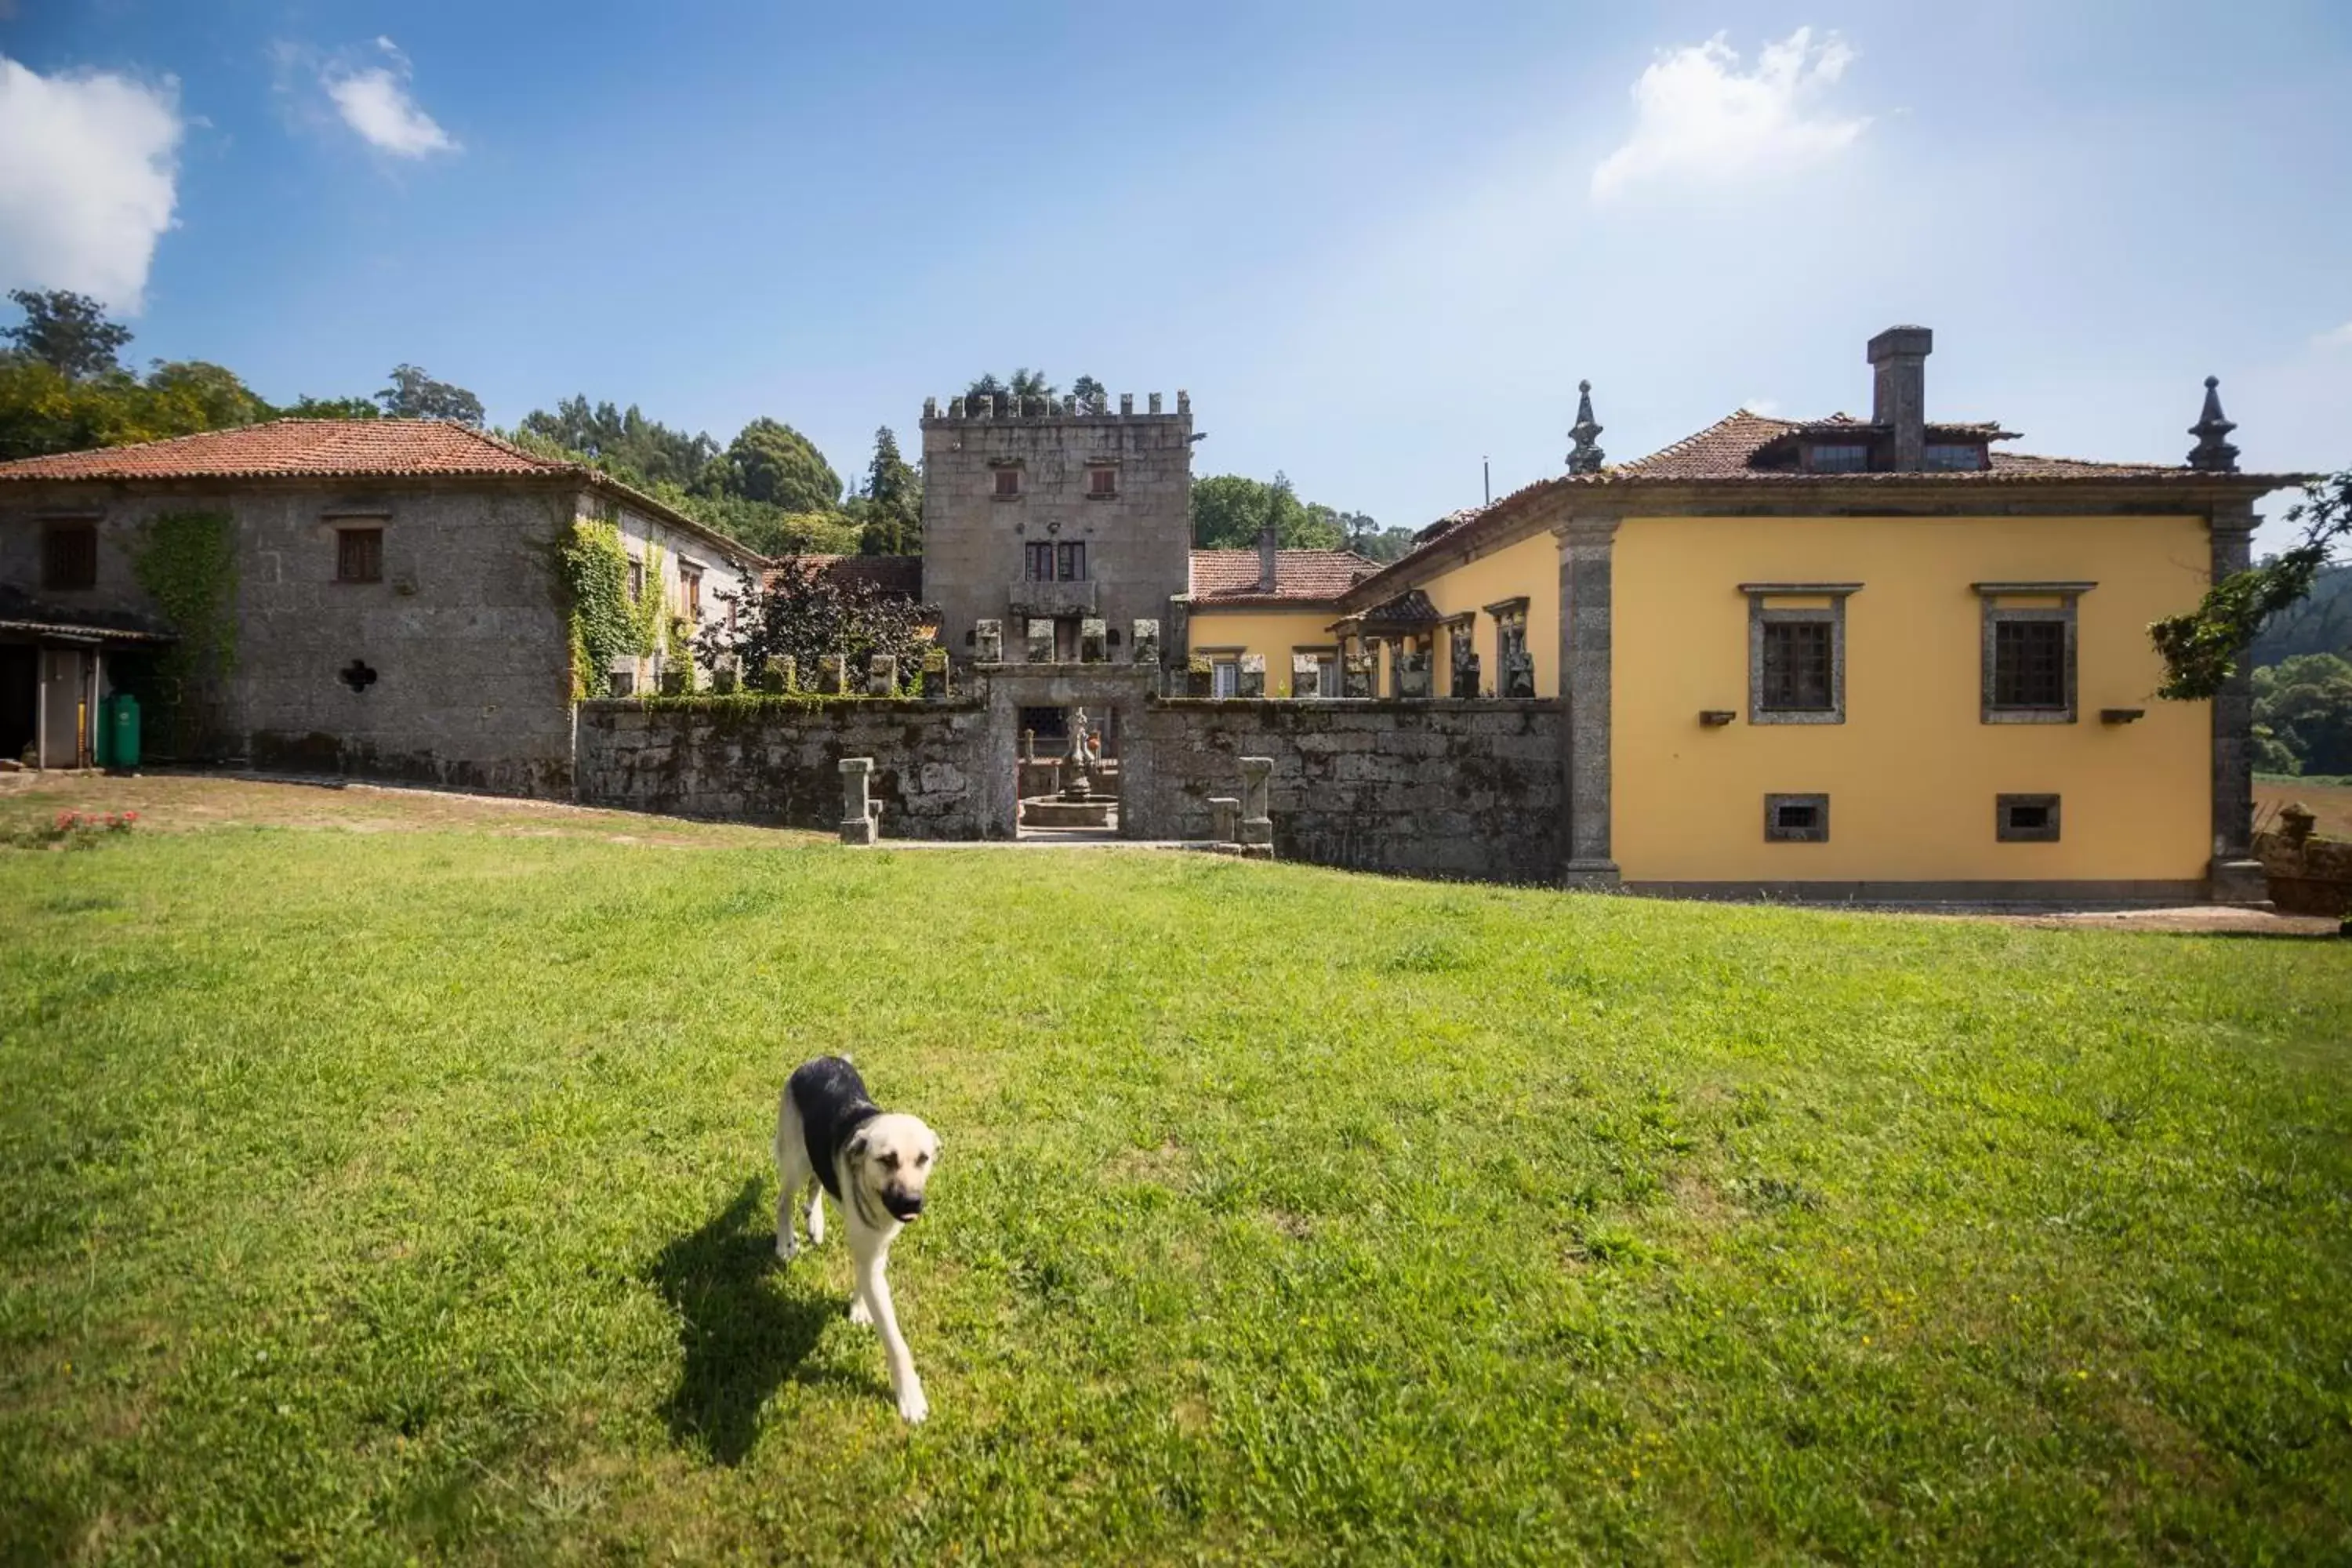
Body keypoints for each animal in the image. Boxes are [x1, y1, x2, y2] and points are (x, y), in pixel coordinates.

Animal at [781, 1053, 946, 1420]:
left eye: (923, 1159)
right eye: (887, 1159)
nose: (912, 1202)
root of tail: (821, 1058)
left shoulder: (876, 1250)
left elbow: (864, 1277)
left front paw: (858, 1307)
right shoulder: (870, 1252)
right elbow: (896, 1342)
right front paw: (909, 1395)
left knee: (817, 1183)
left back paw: (815, 1221)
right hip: (796, 1162)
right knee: (784, 1199)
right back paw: (784, 1242)